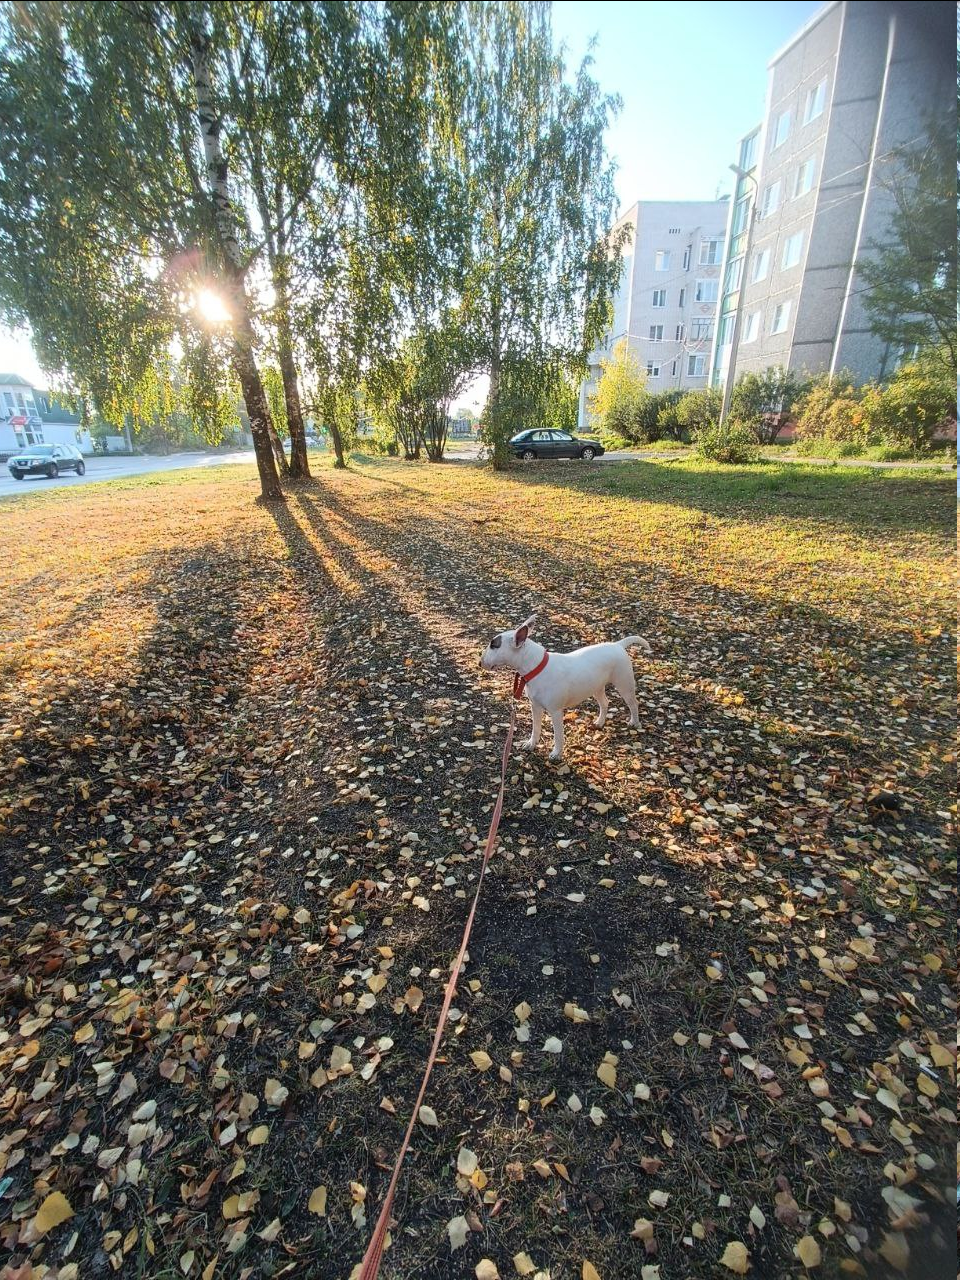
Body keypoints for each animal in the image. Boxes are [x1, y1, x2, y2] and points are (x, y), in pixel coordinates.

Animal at [481, 611, 655, 752]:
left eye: (494, 645)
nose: (479, 662)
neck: (537, 667)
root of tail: (618, 645)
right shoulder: (535, 707)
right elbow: (536, 727)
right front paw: (531, 744)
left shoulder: (556, 711)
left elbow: (558, 735)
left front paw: (556, 754)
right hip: (597, 687)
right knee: (605, 702)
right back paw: (599, 722)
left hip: (624, 684)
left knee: (633, 703)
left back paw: (634, 723)